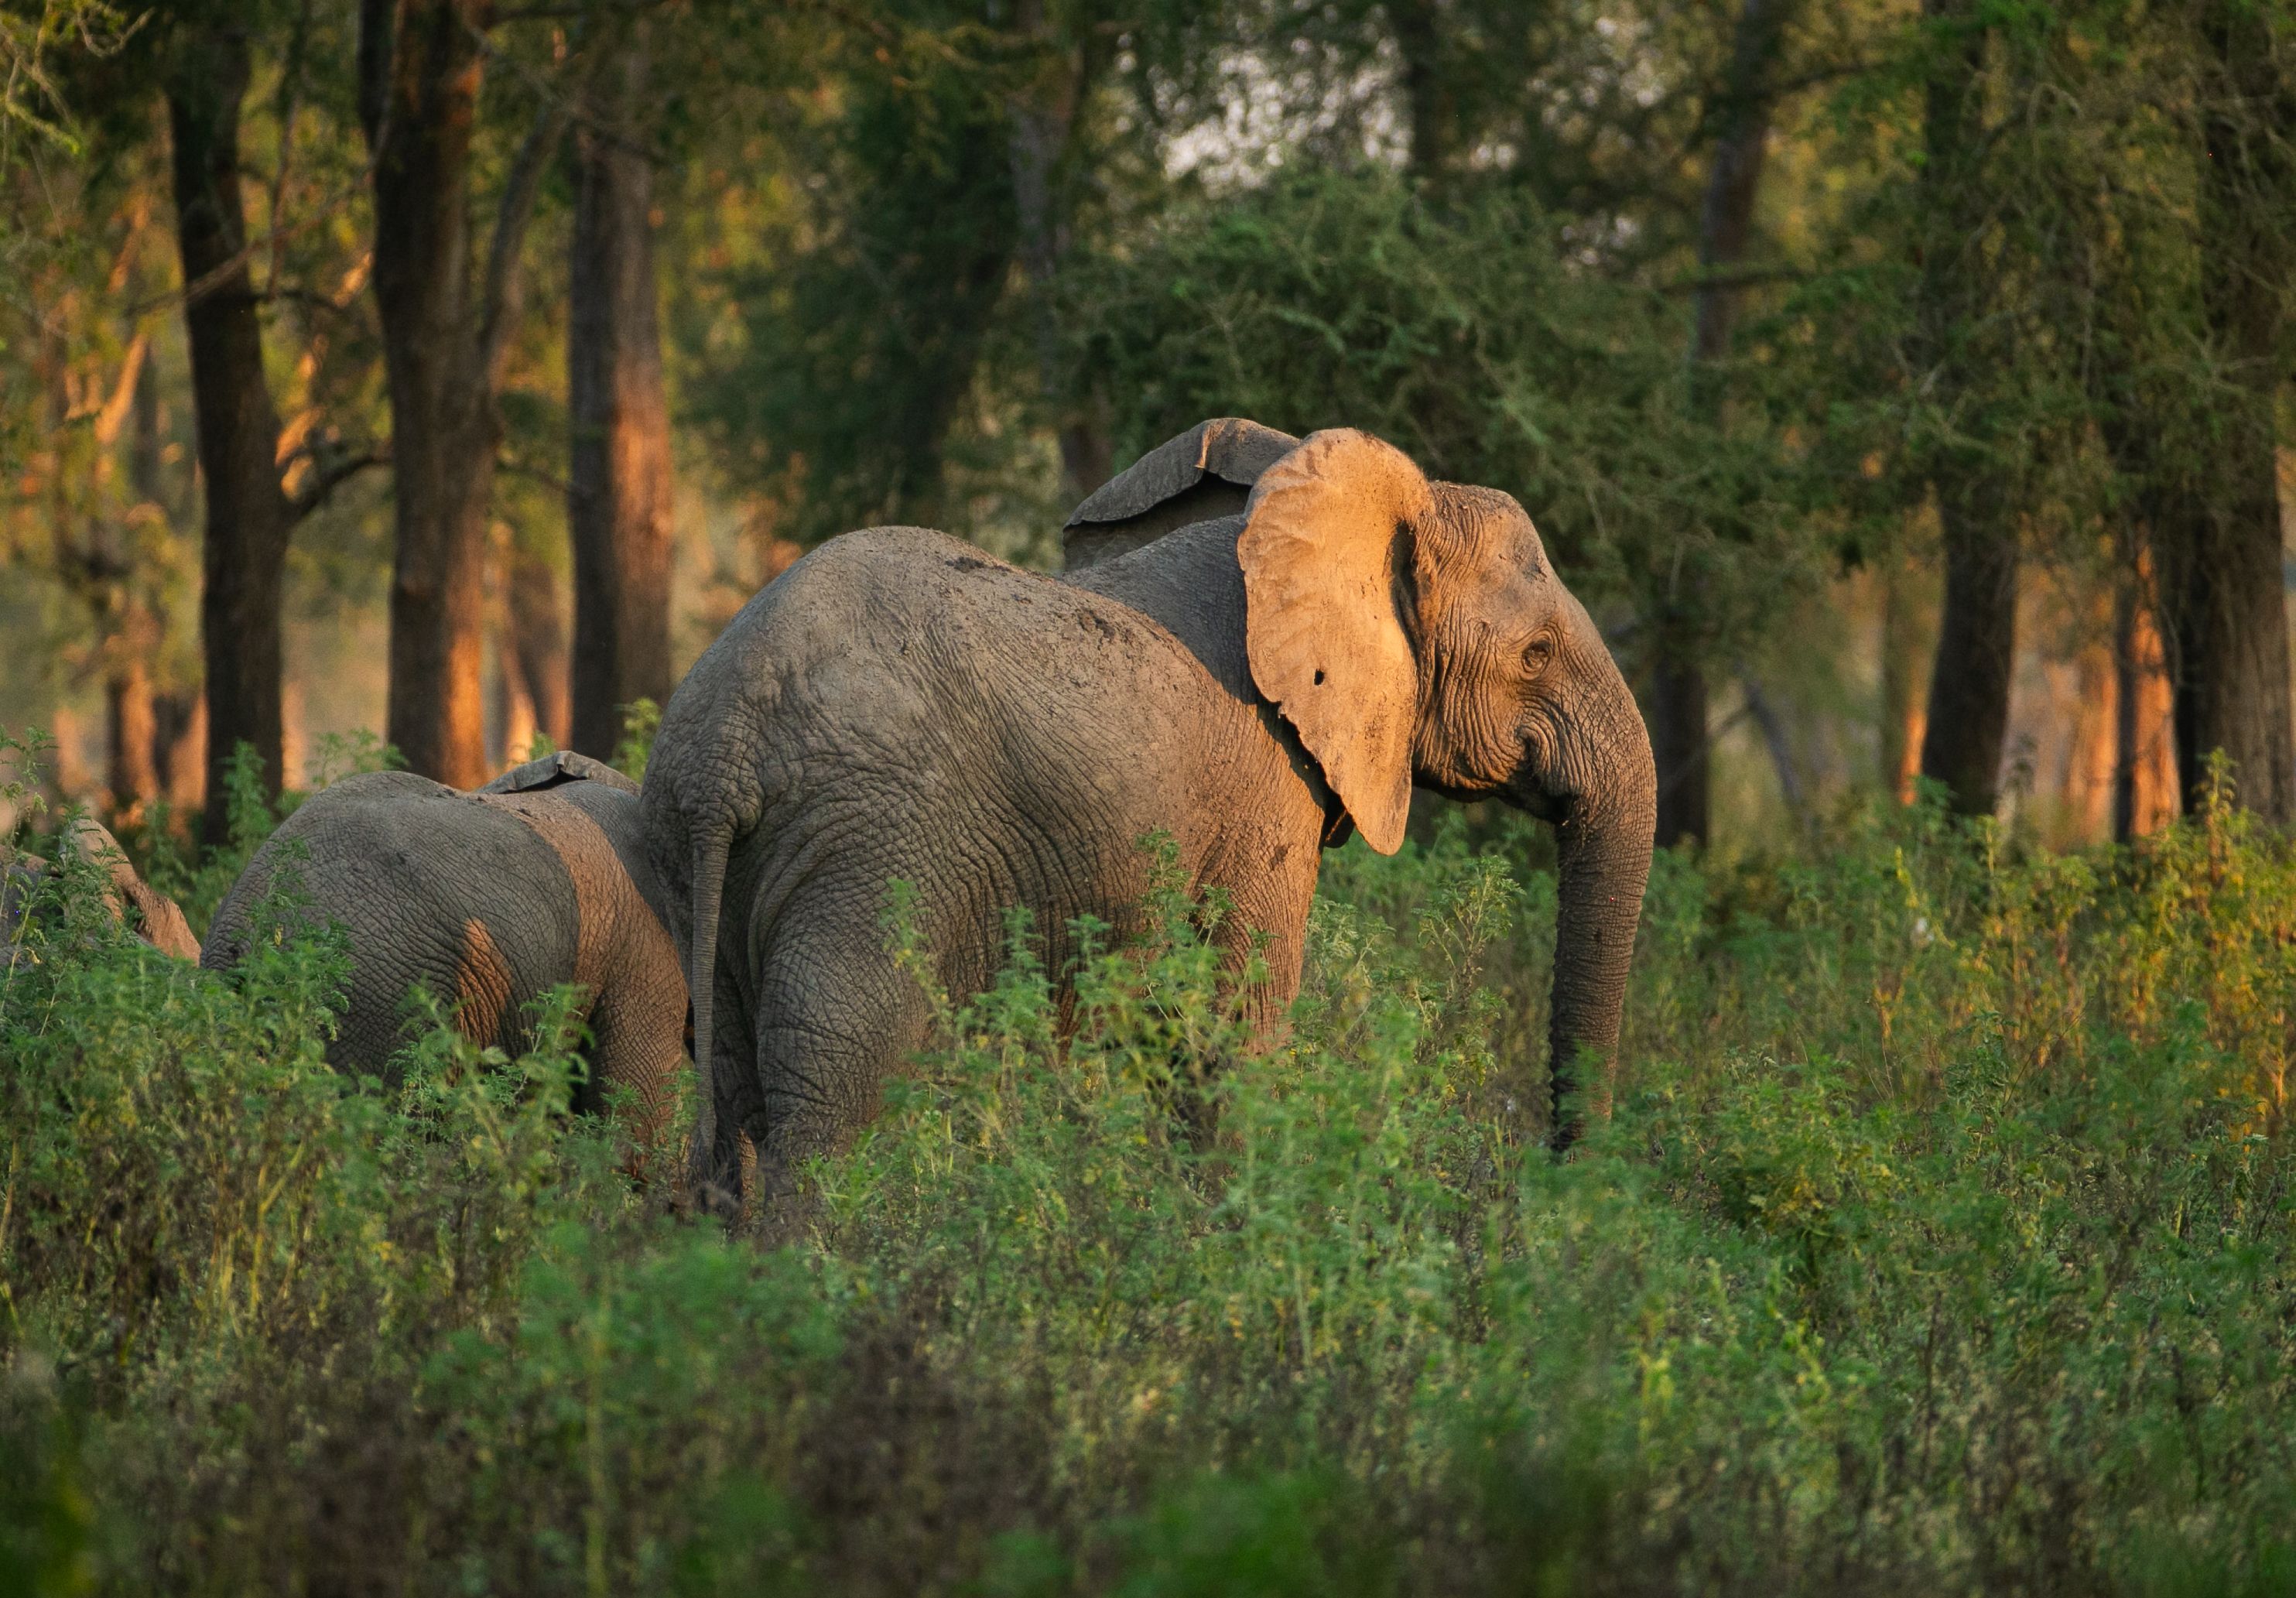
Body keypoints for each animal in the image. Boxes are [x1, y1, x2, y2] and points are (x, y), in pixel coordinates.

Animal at [643, 422, 1657, 1209]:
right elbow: (1235, 1026)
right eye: (1535, 653)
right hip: (872, 851)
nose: (1555, 1188)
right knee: (829, 1105)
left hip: (697, 862)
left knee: (736, 1100)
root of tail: (726, 739)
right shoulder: (1266, 780)